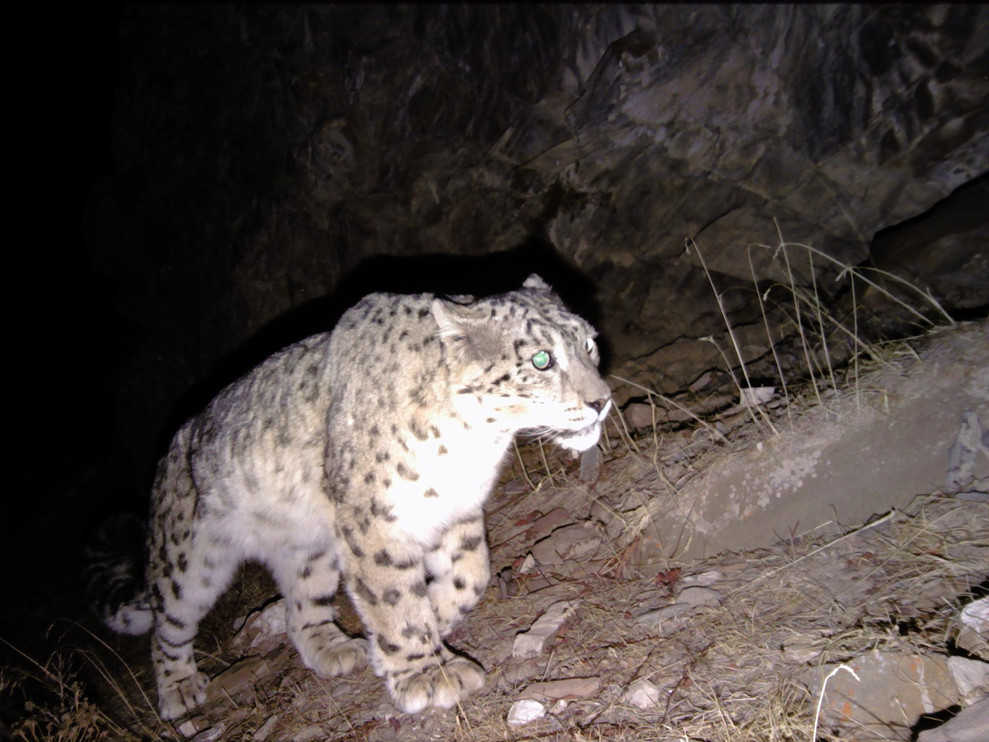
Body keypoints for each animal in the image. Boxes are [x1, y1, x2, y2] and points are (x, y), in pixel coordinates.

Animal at [88, 274, 611, 720]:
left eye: (589, 344)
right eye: (541, 359)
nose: (602, 400)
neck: (476, 448)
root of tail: (169, 453)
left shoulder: (455, 510)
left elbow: (472, 574)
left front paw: (426, 626)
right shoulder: (376, 519)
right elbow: (395, 597)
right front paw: (427, 673)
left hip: (308, 551)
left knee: (301, 610)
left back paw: (336, 649)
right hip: (188, 560)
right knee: (168, 625)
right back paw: (179, 690)